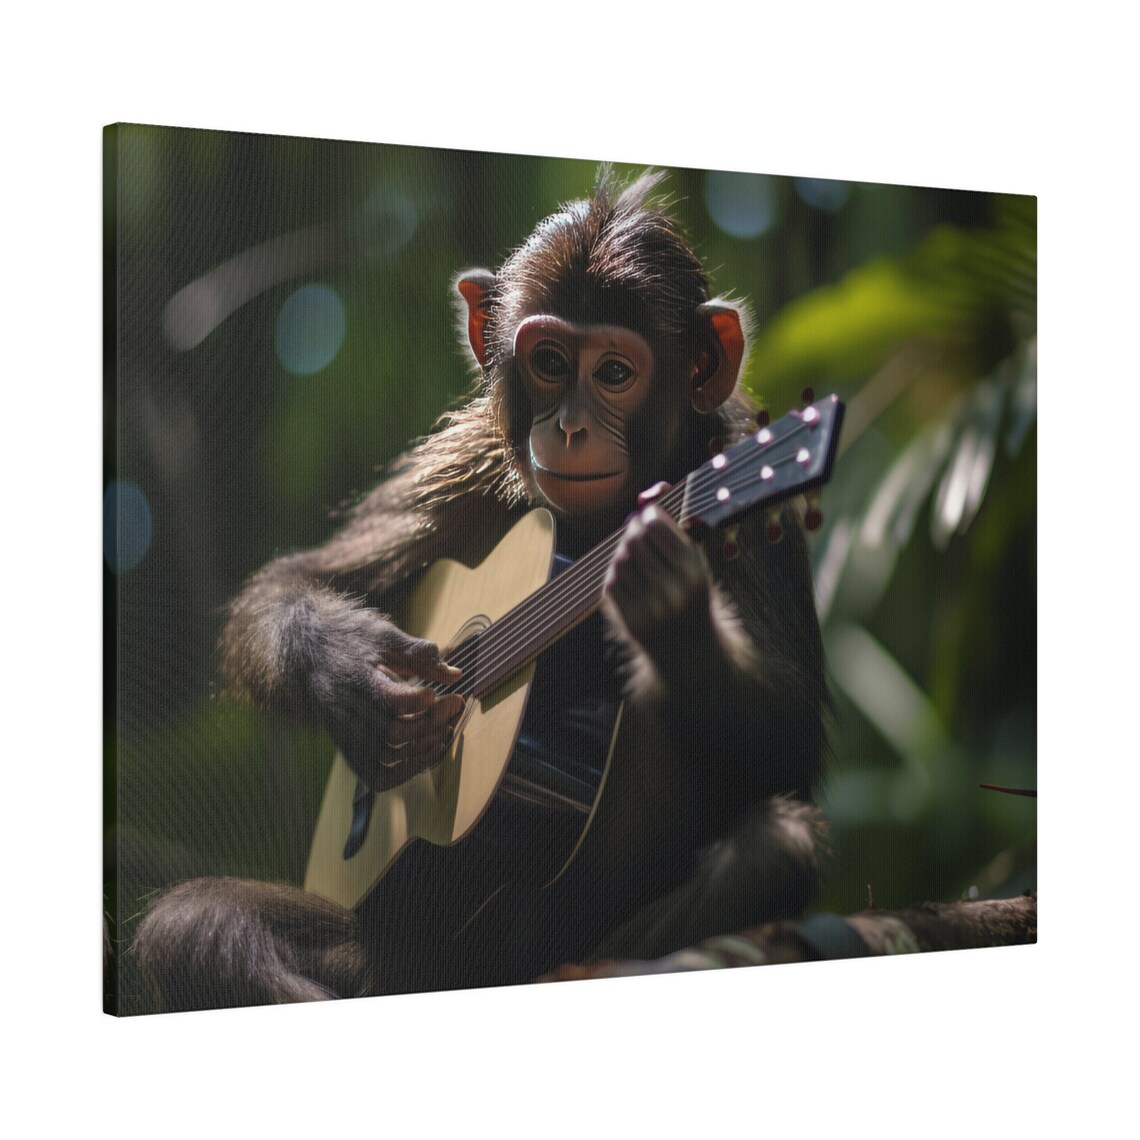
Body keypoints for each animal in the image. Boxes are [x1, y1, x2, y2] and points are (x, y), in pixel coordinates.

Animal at [134, 169, 829, 1011]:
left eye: (615, 373)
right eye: (551, 361)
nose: (569, 427)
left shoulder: (757, 503)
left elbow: (784, 736)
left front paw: (671, 612)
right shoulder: (468, 460)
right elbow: (305, 579)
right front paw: (351, 675)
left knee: (773, 849)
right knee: (196, 925)